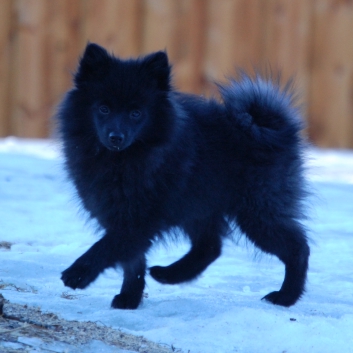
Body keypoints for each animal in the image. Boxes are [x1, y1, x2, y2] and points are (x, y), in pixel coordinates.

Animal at [57, 43, 308, 308]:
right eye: (103, 109)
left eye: (136, 113)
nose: (116, 137)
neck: (122, 161)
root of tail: (269, 125)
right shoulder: (118, 215)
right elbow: (132, 261)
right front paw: (130, 298)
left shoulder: (139, 220)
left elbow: (107, 247)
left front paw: (79, 273)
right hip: (201, 207)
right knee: (210, 247)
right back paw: (168, 274)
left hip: (257, 212)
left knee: (298, 247)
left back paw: (286, 296)